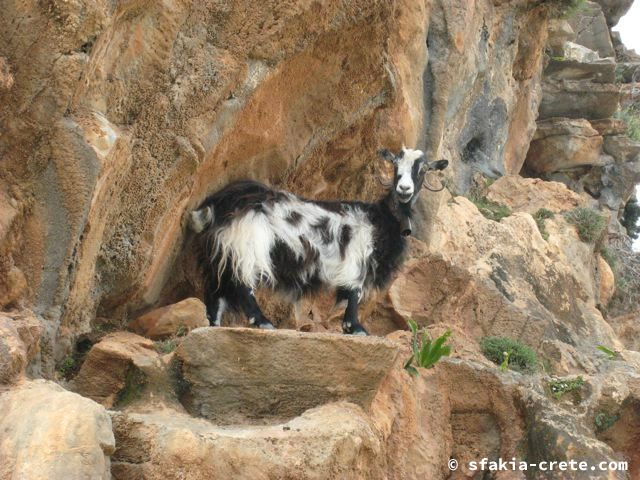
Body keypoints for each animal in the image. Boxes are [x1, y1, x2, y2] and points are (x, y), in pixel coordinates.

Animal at [188, 148, 448, 336]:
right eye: (395, 166)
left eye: (422, 169)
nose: (404, 189)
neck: (380, 218)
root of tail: (222, 201)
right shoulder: (356, 258)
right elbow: (353, 292)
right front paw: (355, 328)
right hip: (248, 244)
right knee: (243, 284)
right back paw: (263, 322)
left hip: (225, 248)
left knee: (217, 289)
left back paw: (214, 324)